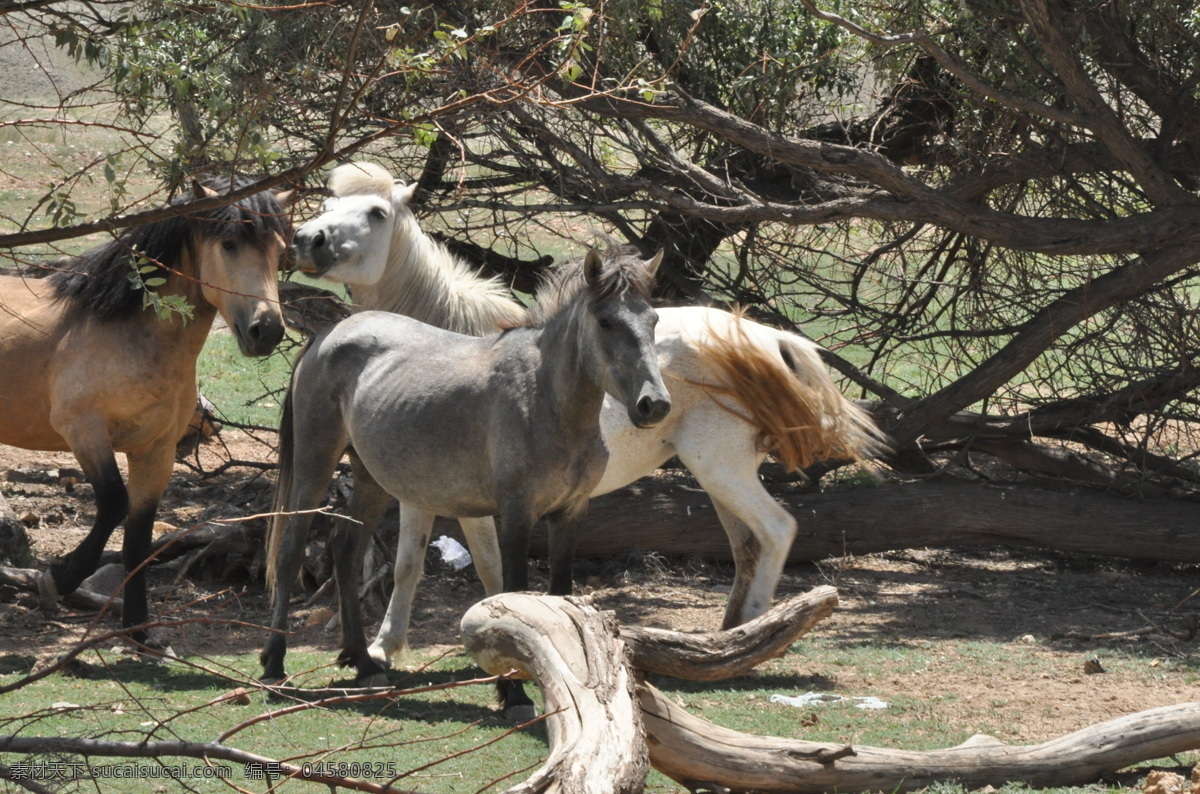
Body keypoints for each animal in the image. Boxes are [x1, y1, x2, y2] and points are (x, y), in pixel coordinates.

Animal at [0, 177, 294, 652]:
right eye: (229, 243)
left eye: (280, 249)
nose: (266, 331)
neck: (126, 331)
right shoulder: (84, 431)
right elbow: (113, 503)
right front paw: (56, 579)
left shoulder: (156, 451)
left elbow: (139, 539)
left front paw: (141, 632)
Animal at [262, 250, 672, 710]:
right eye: (605, 322)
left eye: (653, 319)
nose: (654, 404)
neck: (546, 399)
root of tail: (326, 336)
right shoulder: (517, 515)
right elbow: (512, 597)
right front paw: (514, 692)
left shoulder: (570, 514)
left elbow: (558, 595)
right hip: (315, 464)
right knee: (291, 551)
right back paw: (275, 664)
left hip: (372, 481)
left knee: (345, 550)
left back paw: (364, 663)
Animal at [292, 160, 892, 666]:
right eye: (328, 201)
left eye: (377, 212)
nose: (306, 239)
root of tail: (766, 336)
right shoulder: (430, 492)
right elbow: (420, 564)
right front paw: (393, 645)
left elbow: (472, 568)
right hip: (718, 474)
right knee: (747, 547)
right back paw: (730, 637)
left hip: (721, 466)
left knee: (776, 531)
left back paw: (754, 639)